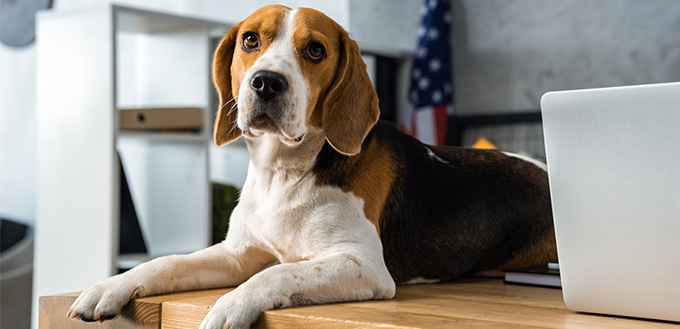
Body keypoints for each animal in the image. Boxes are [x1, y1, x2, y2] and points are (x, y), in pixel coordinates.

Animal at [69, 5, 556, 328]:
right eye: (250, 40)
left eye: (316, 51)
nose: (266, 82)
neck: (283, 173)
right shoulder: (238, 253)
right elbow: (167, 263)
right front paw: (109, 286)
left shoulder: (363, 265)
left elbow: (278, 271)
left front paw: (228, 305)